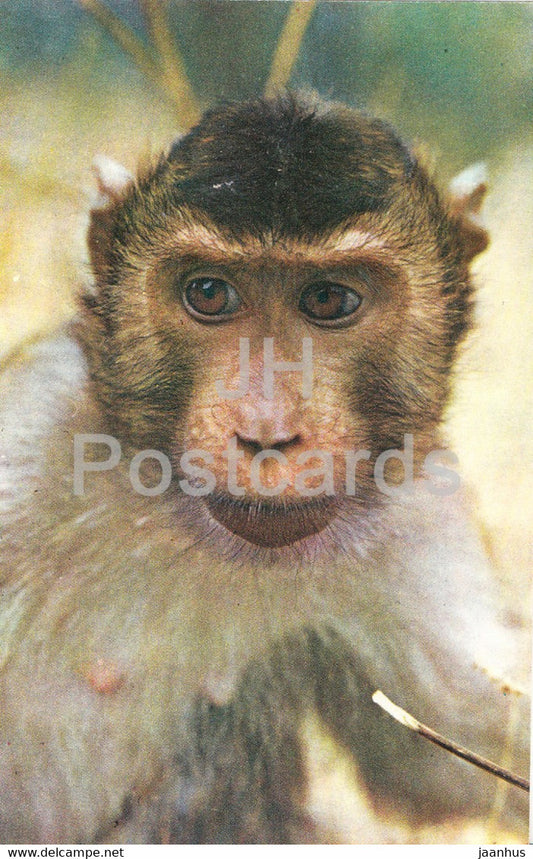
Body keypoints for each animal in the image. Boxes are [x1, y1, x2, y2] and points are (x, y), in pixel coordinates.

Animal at [0, 93, 529, 844]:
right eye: (209, 293)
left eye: (330, 300)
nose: (266, 432)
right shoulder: (28, 442)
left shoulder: (414, 518)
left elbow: (458, 758)